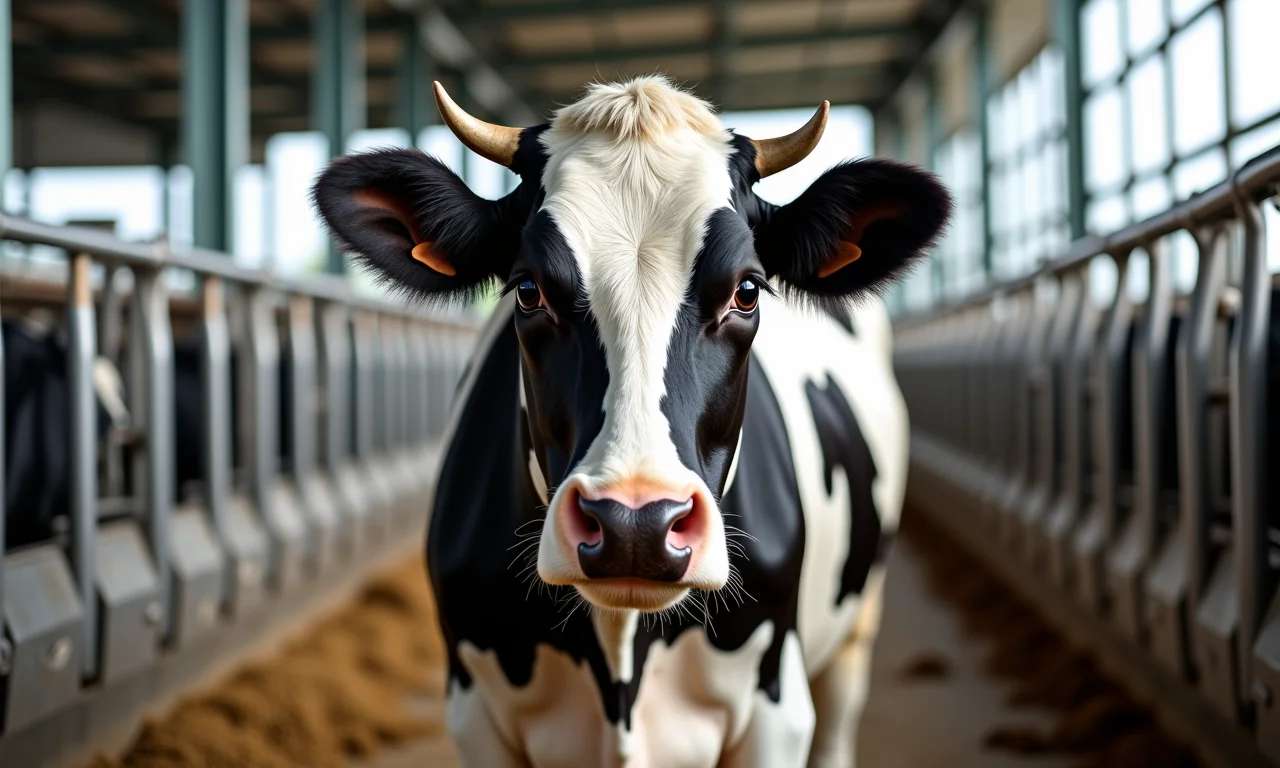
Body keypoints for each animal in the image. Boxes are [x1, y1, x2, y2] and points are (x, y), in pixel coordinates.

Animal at [312, 76, 951, 768]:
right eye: (528, 290)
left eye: (747, 291)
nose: (635, 524)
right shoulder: (474, 710)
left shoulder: (776, 711)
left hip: (858, 624)